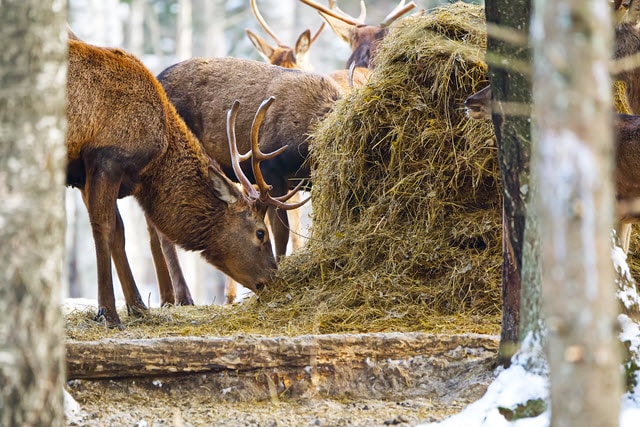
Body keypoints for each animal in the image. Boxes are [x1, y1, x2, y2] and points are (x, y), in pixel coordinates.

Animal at [66, 41, 302, 328]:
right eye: (260, 233)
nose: (272, 278)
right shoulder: (106, 157)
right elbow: (105, 228)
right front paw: (108, 313)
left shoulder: (83, 176)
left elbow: (119, 233)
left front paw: (138, 307)